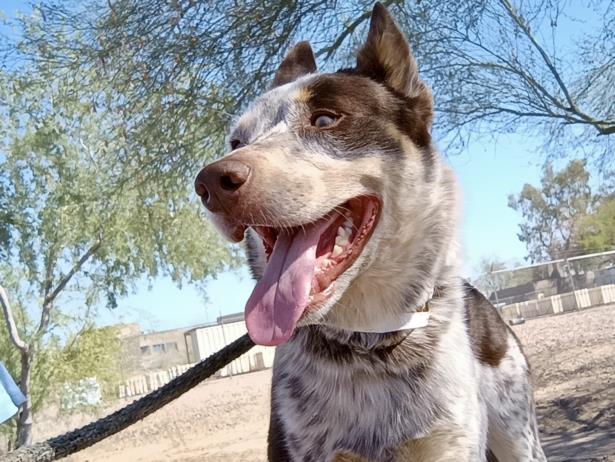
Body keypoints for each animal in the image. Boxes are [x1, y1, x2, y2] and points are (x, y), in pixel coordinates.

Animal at [195, 4, 548, 462]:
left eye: (325, 119)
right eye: (237, 141)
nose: (209, 183)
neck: (370, 343)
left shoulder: (449, 444)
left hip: (520, 434)